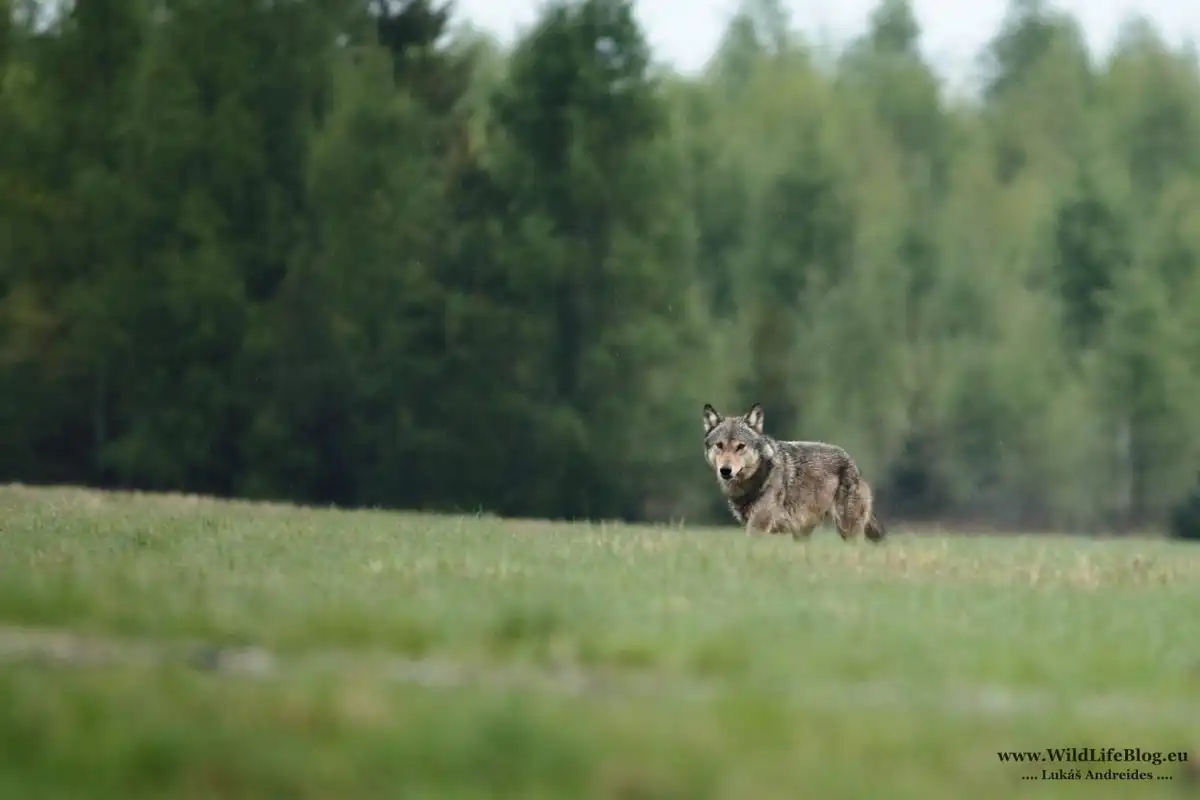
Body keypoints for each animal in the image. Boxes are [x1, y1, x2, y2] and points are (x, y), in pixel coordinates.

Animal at [702, 403, 886, 542]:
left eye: (740, 446)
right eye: (719, 445)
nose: (725, 470)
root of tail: (853, 464)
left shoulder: (758, 526)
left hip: (847, 529)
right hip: (802, 533)